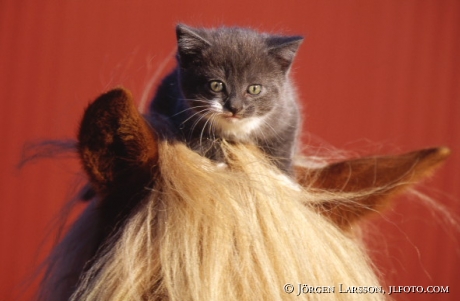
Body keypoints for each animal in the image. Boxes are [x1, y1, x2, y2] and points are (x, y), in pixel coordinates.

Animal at [149, 24, 304, 172]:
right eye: (216, 85)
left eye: (254, 89)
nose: (235, 107)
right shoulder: (180, 114)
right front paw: (218, 159)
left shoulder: (287, 115)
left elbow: (282, 148)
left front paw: (282, 172)